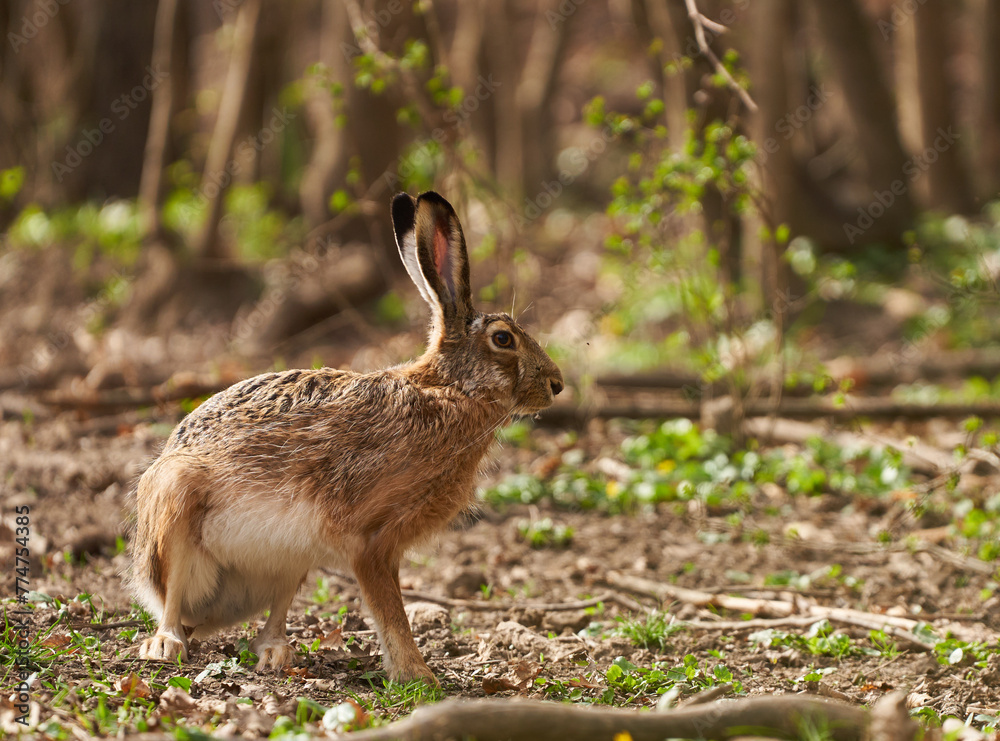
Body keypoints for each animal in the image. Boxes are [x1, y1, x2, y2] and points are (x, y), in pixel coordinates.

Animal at [128, 190, 564, 684]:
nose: (556, 384)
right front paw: (418, 675)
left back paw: (275, 652)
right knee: (172, 596)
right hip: (175, 504)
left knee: (274, 611)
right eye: (503, 339)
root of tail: (206, 615)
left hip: (290, 556)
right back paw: (166, 644)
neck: (449, 391)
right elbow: (390, 611)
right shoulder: (373, 541)